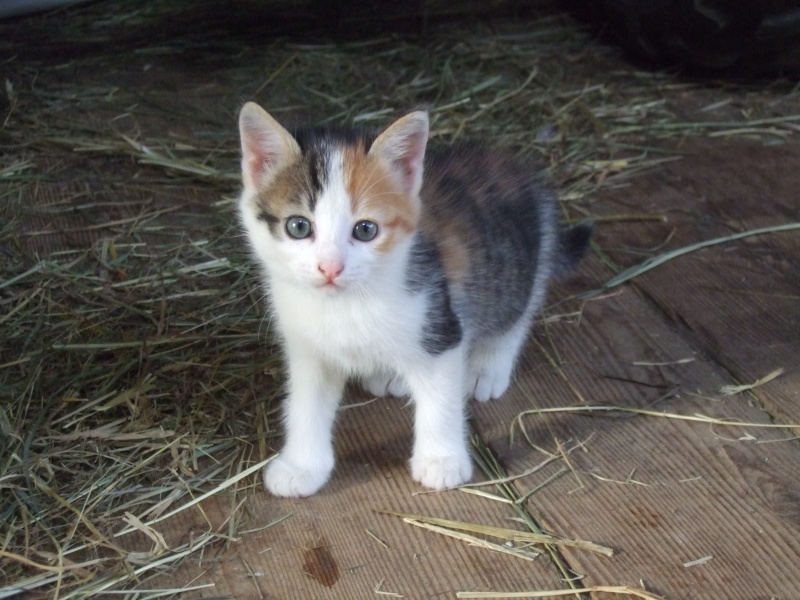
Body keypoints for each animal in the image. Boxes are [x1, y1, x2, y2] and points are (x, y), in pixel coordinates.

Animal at [234, 102, 592, 496]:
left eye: (365, 230)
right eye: (298, 226)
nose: (331, 268)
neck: (345, 305)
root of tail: (510, 162)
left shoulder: (439, 324)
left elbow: (441, 401)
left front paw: (441, 461)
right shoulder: (307, 348)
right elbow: (305, 404)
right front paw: (301, 466)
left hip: (518, 264)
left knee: (517, 310)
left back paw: (488, 367)